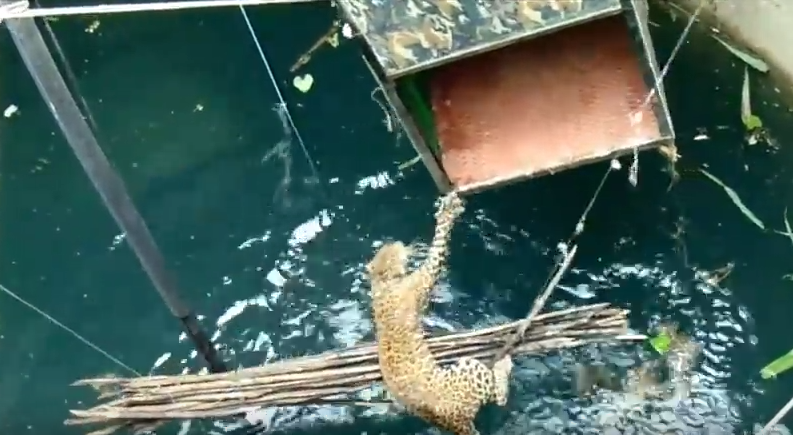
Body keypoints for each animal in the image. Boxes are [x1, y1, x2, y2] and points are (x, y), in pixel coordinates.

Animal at [366, 191, 513, 435]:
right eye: (395, 247)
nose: (400, 242)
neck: (383, 284)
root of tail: (457, 425)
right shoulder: (426, 275)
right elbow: (438, 246)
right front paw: (448, 212)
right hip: (470, 368)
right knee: (499, 396)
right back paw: (504, 363)